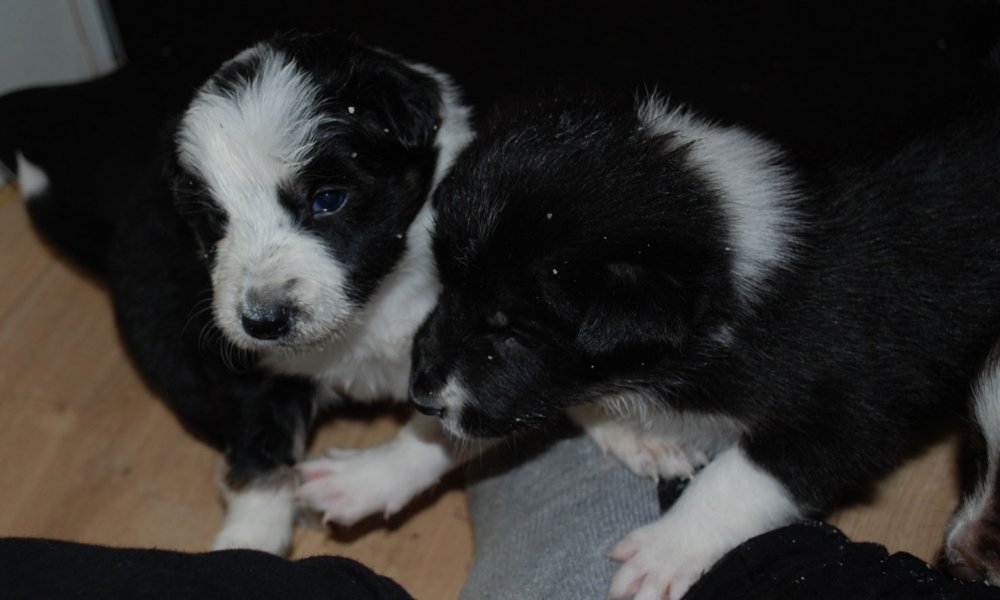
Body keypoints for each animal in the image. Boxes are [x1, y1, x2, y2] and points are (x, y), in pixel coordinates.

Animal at [16, 31, 473, 554]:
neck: (367, 314)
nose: (264, 321)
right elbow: (259, 462)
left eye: (328, 200)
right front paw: (247, 547)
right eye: (216, 221)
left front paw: (357, 483)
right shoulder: (248, 368)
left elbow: (445, 432)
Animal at [403, 90, 1000, 598]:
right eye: (445, 287)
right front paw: (639, 437)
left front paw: (662, 551)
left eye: (511, 332)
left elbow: (740, 474)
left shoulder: (853, 409)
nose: (420, 394)